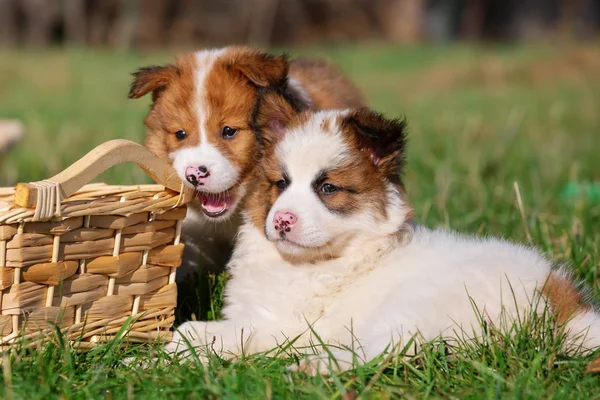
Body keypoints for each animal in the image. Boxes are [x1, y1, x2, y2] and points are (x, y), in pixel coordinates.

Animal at [164, 89, 600, 374]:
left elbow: (203, 333)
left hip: (418, 305)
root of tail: (564, 307)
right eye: (280, 184)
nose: (281, 221)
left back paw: (313, 368)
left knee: (391, 351)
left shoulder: (287, 328)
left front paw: (176, 352)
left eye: (328, 188)